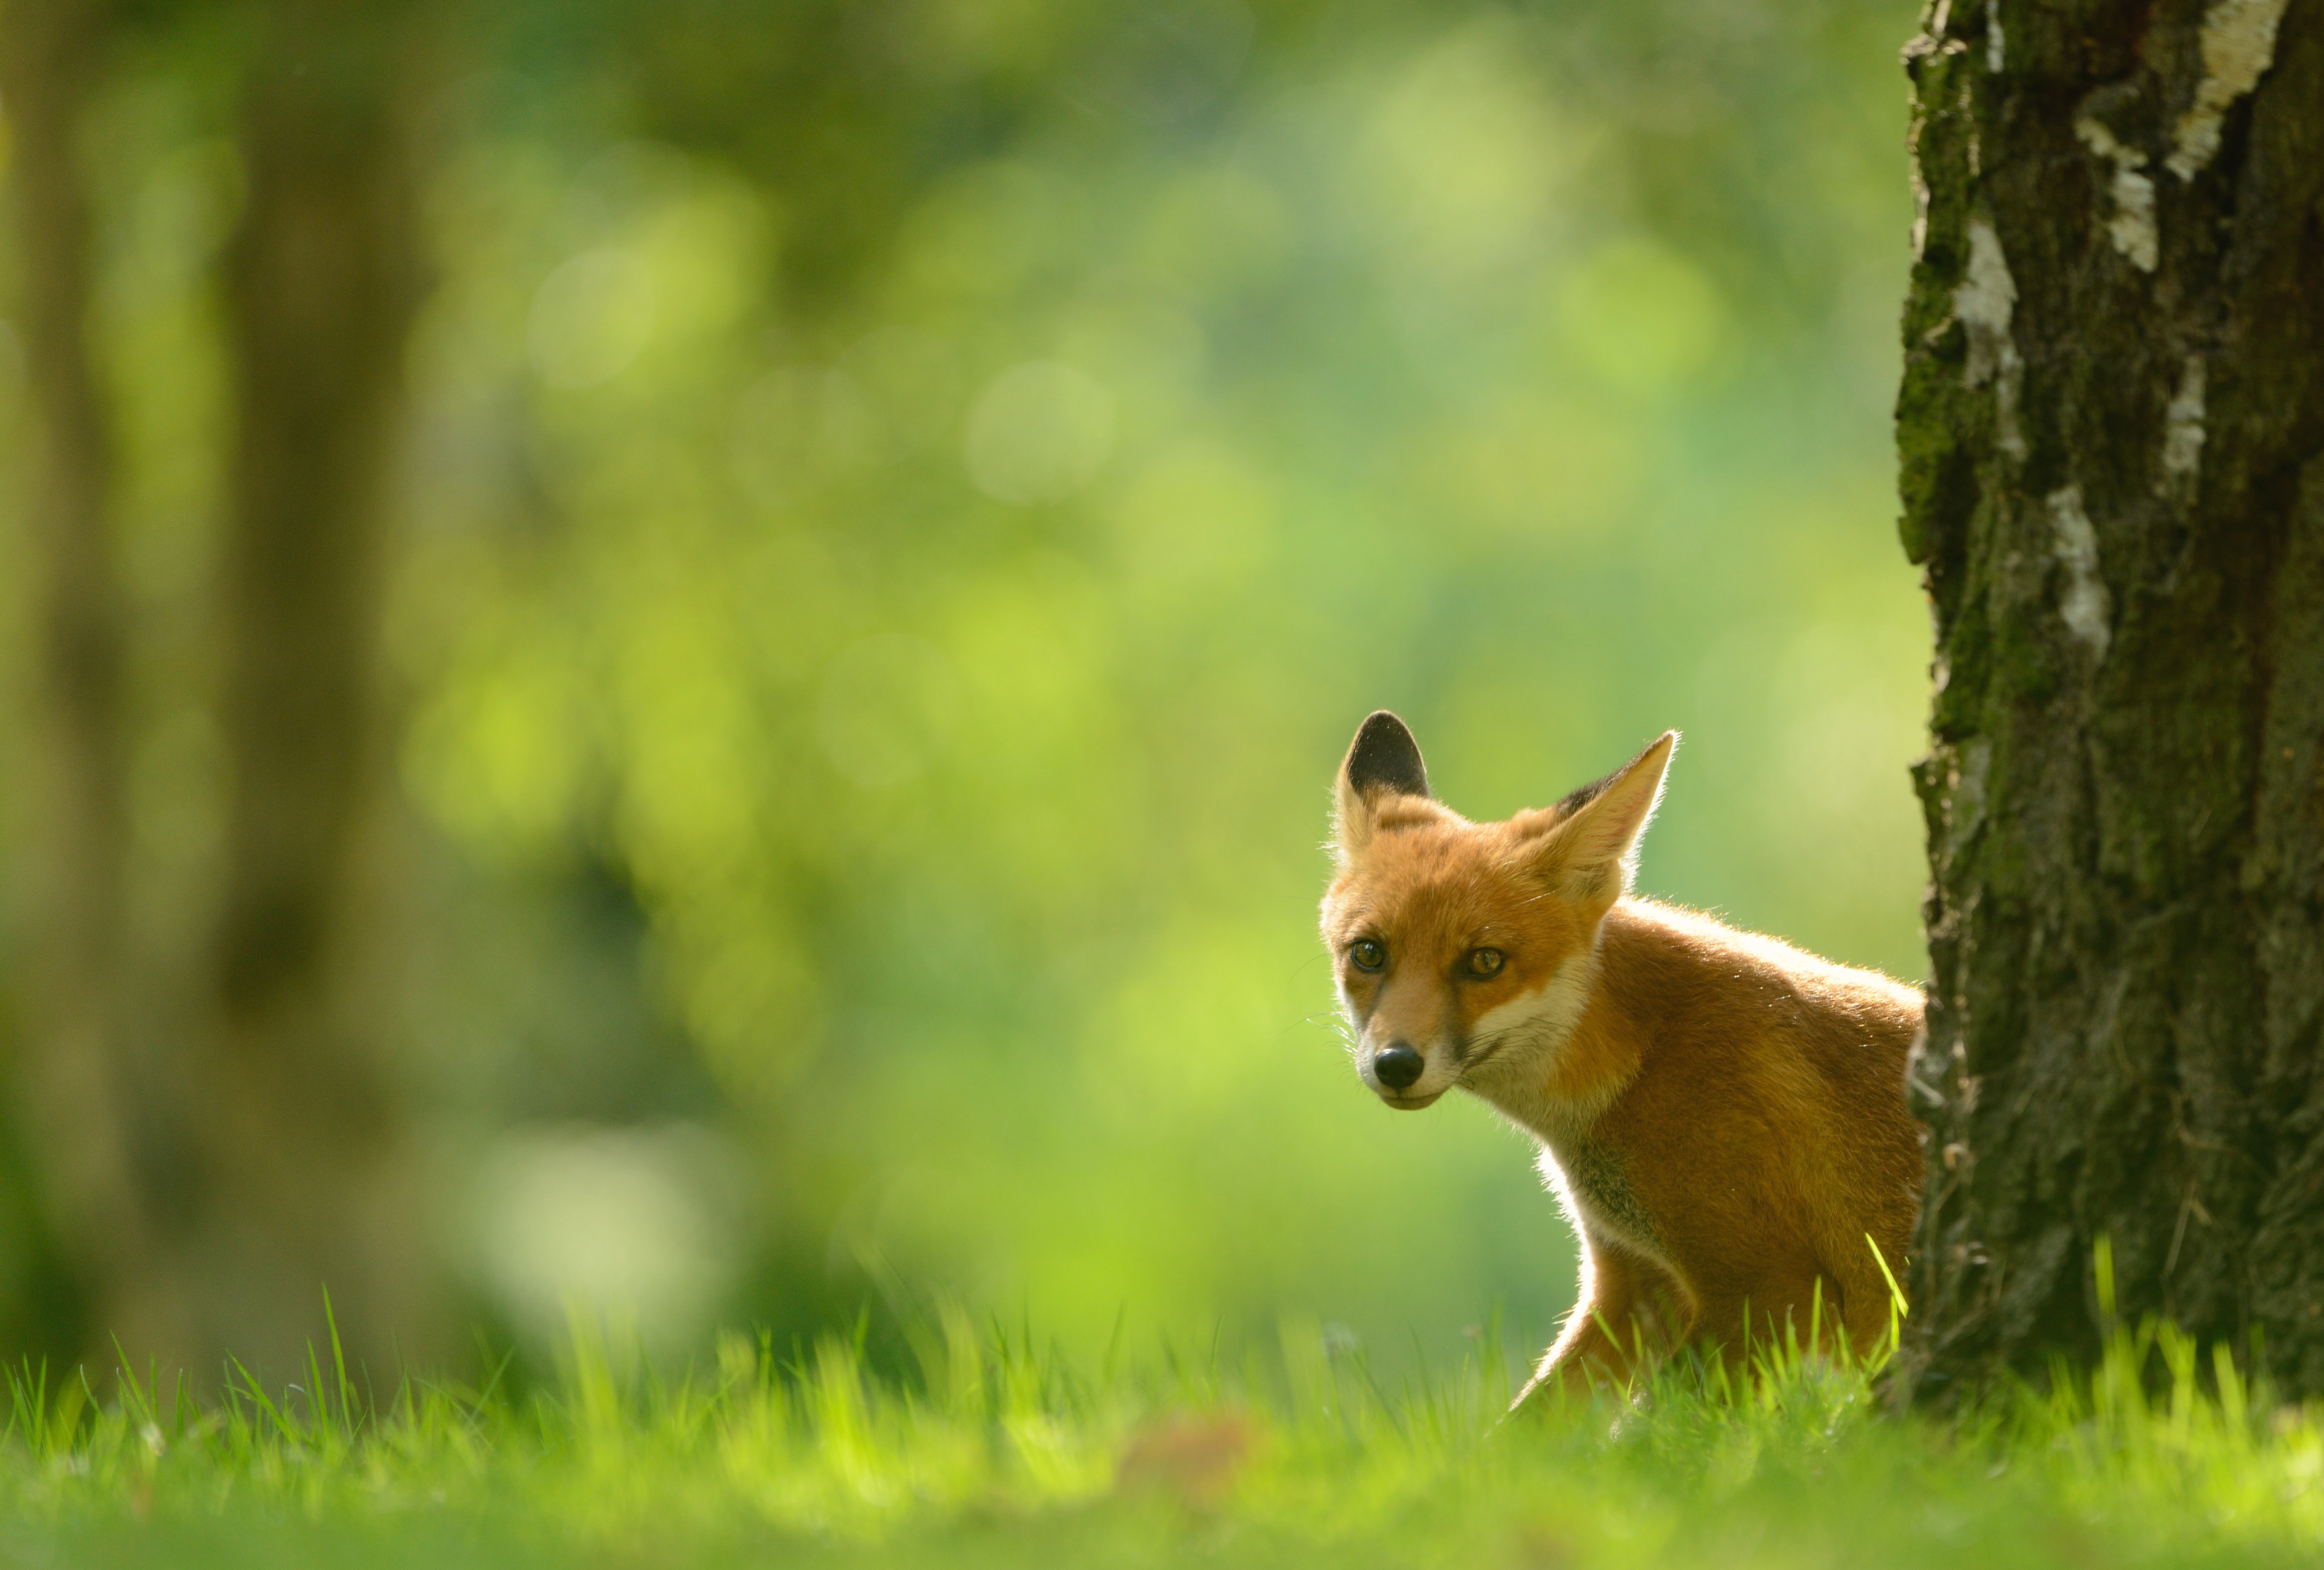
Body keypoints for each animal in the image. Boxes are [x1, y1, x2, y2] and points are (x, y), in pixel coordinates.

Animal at [1320, 710, 1933, 1403]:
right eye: (1368, 953)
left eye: (1484, 962)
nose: (1395, 1064)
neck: (1646, 1057)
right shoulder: (1630, 1282)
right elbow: (1528, 1423)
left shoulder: (1769, 1288)